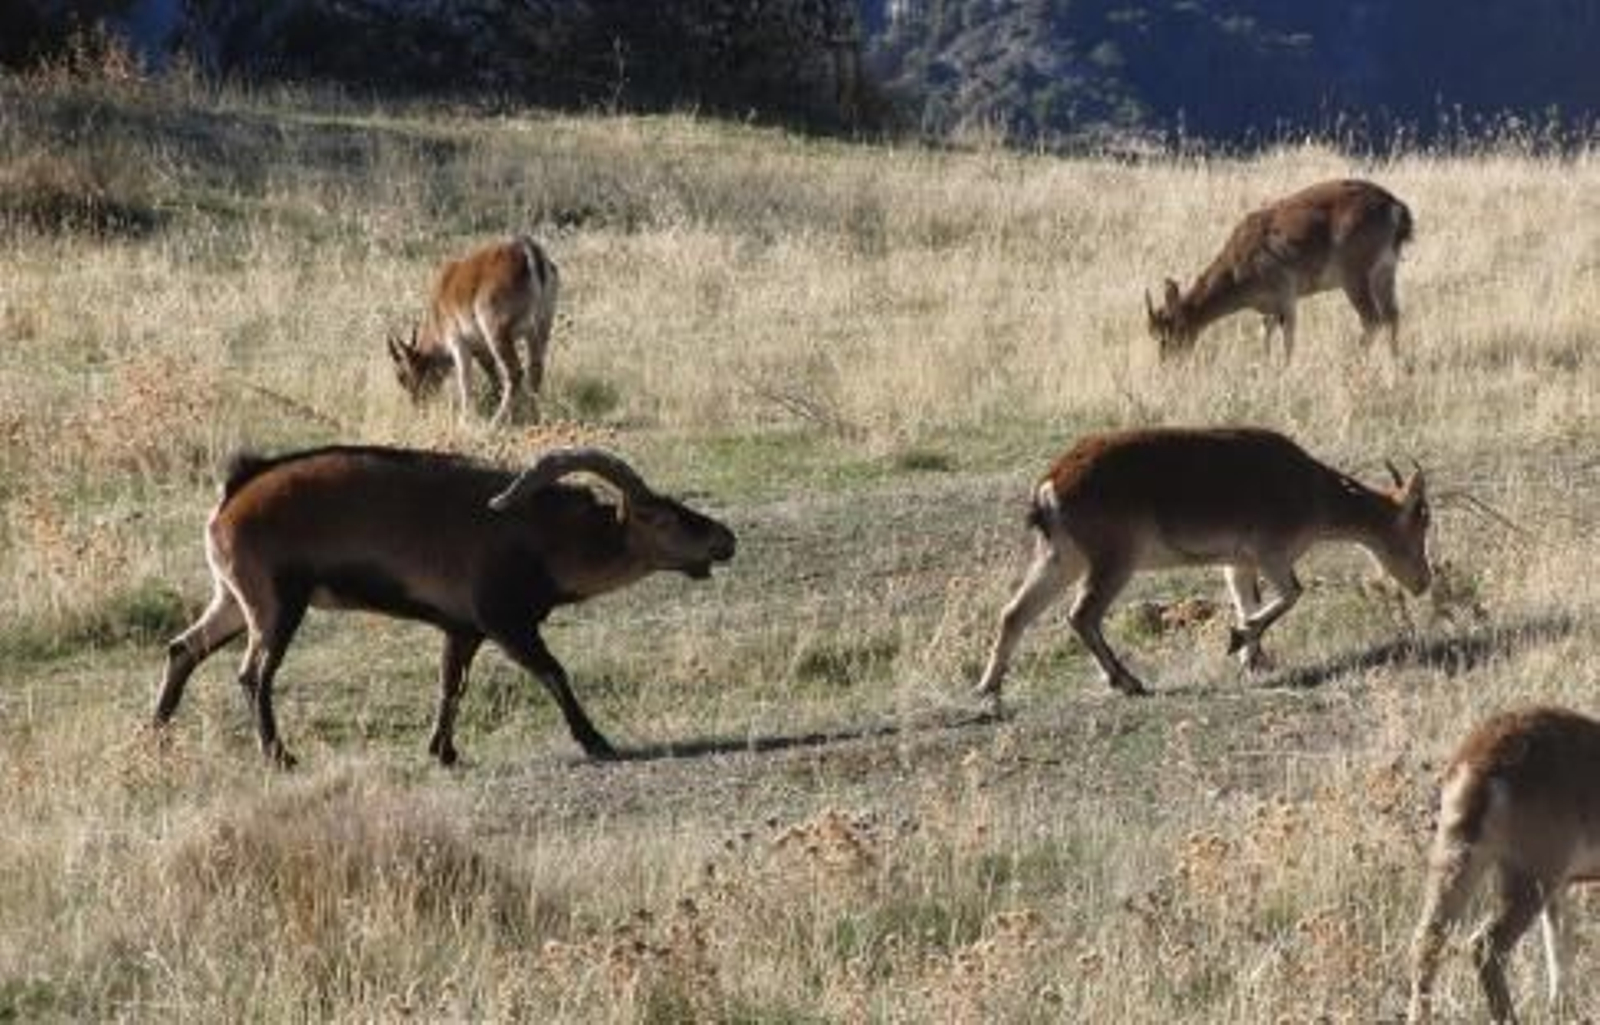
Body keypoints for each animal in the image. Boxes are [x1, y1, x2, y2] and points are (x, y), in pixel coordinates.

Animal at [152, 446, 735, 766]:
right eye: (659, 517)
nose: (724, 540)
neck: (543, 537)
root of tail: (233, 496)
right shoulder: (506, 622)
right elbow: (553, 672)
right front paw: (596, 741)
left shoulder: (462, 629)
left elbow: (451, 685)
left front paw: (443, 751)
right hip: (275, 604)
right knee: (253, 674)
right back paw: (280, 757)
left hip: (233, 599)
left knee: (183, 648)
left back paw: (156, 733)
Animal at [387, 235, 559, 426]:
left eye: (402, 377)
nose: (418, 406)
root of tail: (528, 251)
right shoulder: (479, 345)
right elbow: (490, 369)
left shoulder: (457, 341)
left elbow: (464, 377)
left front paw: (464, 419)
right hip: (542, 324)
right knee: (535, 367)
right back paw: (532, 411)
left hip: (496, 329)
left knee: (515, 372)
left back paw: (496, 421)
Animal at [974, 426, 1431, 699]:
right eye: (1421, 520)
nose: (1423, 582)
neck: (1312, 494)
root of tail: (1050, 485)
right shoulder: (1272, 552)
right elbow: (1291, 595)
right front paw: (1238, 640)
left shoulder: (1239, 561)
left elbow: (1248, 600)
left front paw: (1254, 660)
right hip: (1114, 558)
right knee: (1082, 614)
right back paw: (1128, 682)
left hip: (1060, 557)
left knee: (1014, 612)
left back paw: (988, 687)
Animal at [1147, 179, 1413, 361]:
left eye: (1172, 330)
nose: (1167, 364)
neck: (1238, 270)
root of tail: (1396, 209)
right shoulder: (1270, 306)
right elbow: (1265, 332)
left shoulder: (1285, 292)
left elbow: (1288, 337)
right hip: (1385, 270)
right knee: (1392, 314)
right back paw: (1395, 363)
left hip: (1355, 273)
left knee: (1372, 318)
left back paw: (1354, 362)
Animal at [1409, 706, 1600, 1024]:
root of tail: (1478, 765)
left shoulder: (1562, 884)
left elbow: (1558, 951)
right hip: (1529, 872)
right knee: (1484, 944)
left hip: (1456, 853)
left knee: (1427, 938)